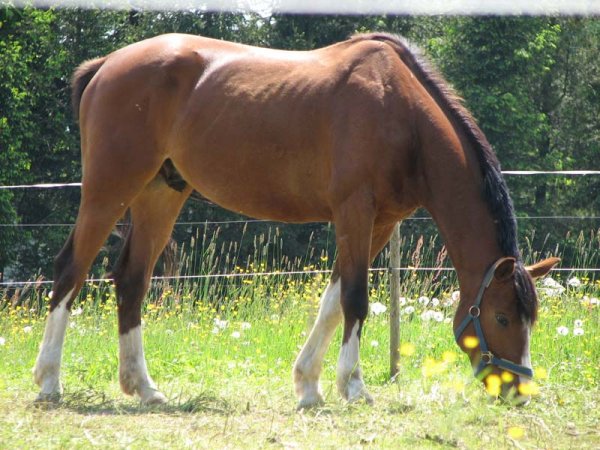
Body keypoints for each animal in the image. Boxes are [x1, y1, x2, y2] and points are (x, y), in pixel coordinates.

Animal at [33, 32, 559, 407]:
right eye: (502, 316)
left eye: (528, 318)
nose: (517, 391)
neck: (402, 114)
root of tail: (106, 65)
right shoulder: (354, 211)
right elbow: (355, 300)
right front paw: (354, 387)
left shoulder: (380, 223)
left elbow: (332, 303)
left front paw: (308, 385)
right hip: (110, 188)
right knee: (70, 270)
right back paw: (49, 381)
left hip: (159, 194)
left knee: (132, 280)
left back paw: (143, 387)